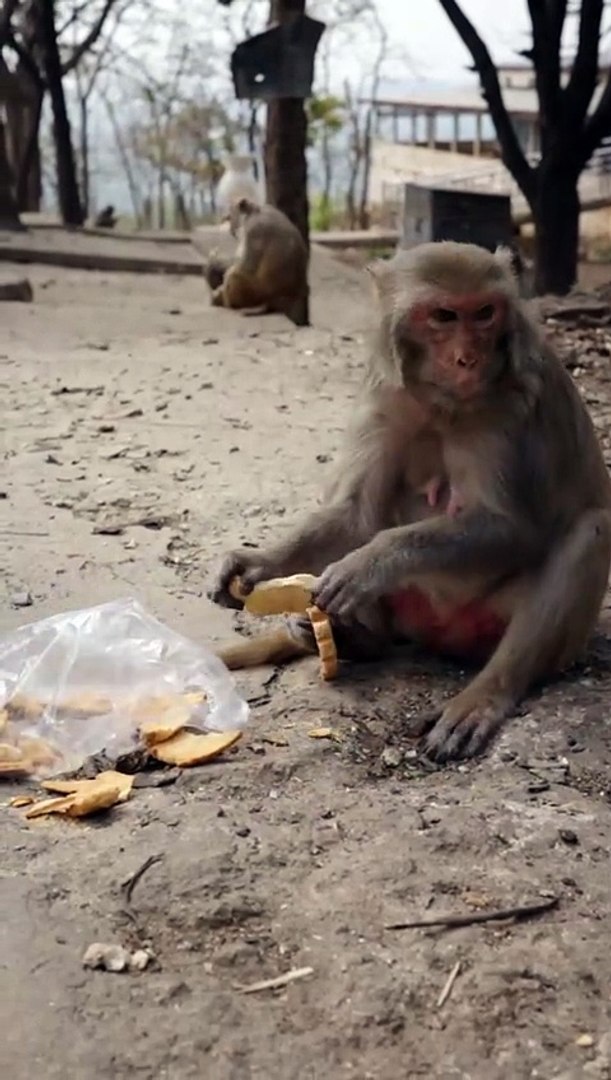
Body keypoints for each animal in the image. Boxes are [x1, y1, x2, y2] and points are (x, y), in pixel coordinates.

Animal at [204, 197, 309, 327]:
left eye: (229, 217)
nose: (229, 228)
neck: (254, 211)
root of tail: (273, 302)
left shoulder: (253, 230)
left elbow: (246, 266)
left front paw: (215, 264)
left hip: (254, 293)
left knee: (234, 274)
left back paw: (226, 302)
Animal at [208, 240, 611, 763]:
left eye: (485, 313)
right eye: (443, 315)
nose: (468, 359)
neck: (441, 404)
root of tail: (440, 636)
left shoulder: (507, 408)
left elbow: (513, 527)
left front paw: (370, 563)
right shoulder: (385, 396)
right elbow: (356, 515)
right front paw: (256, 562)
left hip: (501, 628)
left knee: (590, 532)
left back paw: (486, 692)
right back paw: (359, 640)